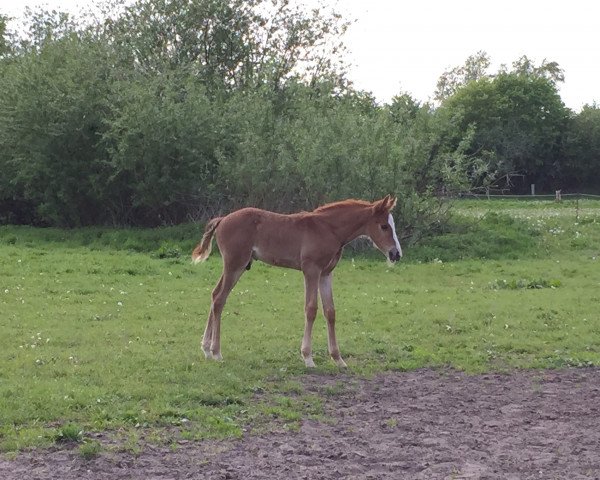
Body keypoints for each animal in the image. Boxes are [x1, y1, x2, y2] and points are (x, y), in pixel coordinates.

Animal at [192, 195, 404, 368]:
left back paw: (206, 349)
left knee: (215, 295)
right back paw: (216, 352)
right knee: (220, 299)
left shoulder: (326, 274)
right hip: (235, 264)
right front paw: (308, 357)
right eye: (384, 226)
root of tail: (222, 220)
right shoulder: (311, 270)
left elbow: (330, 312)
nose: (396, 254)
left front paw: (338, 359)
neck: (328, 229)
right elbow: (311, 309)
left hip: (236, 266)